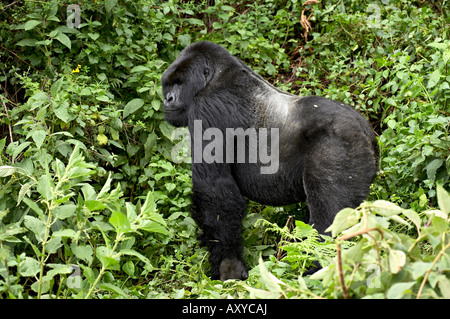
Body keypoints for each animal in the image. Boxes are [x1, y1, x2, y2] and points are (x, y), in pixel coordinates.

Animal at [160, 41, 378, 282]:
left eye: (179, 83)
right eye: (168, 85)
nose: (168, 99)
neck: (218, 75)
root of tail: (366, 132)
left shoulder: (207, 108)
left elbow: (215, 192)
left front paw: (229, 266)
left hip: (341, 145)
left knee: (328, 218)